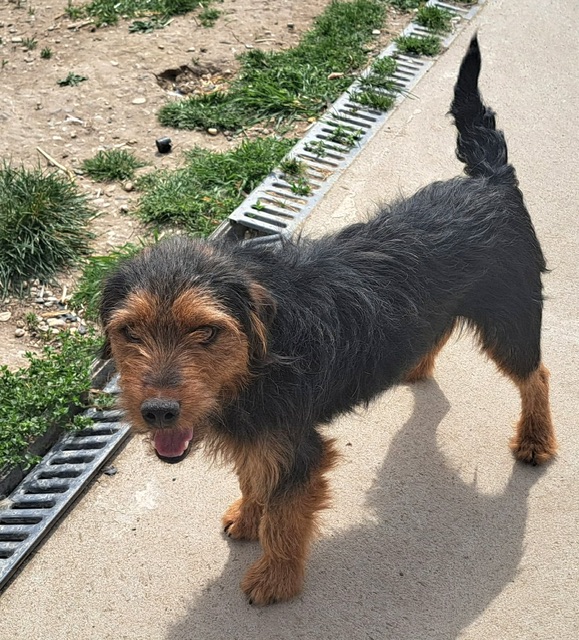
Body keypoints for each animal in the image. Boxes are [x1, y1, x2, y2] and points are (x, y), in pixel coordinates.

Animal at [100, 36, 557, 605]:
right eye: (129, 331)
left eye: (205, 331)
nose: (158, 412)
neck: (261, 355)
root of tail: (492, 181)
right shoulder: (264, 433)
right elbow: (254, 477)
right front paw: (248, 515)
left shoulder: (297, 446)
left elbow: (284, 513)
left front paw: (274, 576)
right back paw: (414, 363)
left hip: (510, 317)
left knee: (537, 375)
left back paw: (536, 438)